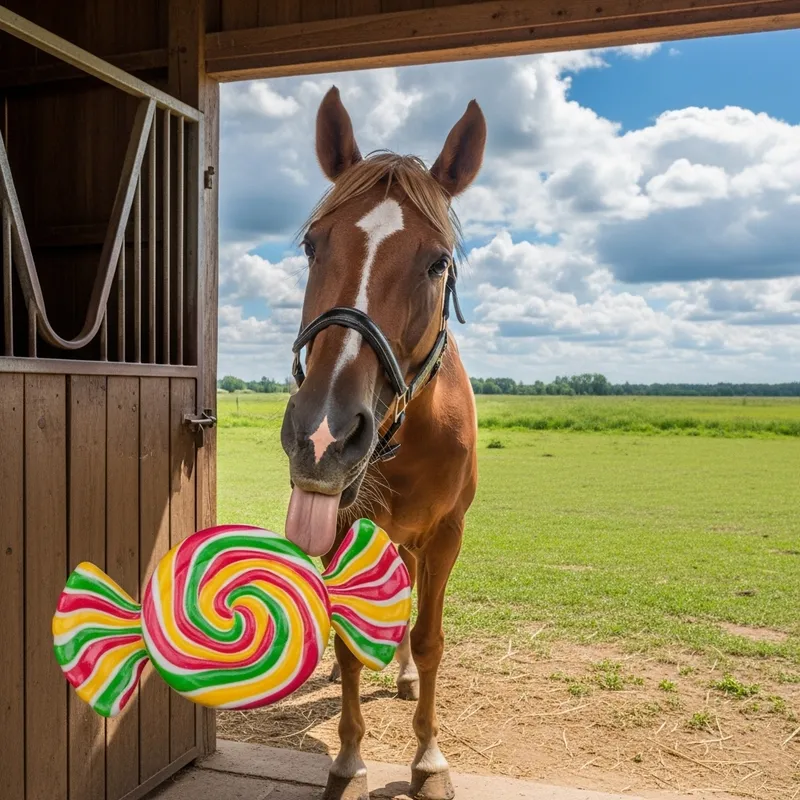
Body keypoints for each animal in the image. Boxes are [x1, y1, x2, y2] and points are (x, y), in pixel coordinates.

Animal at [281, 85, 486, 800]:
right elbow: (347, 643)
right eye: (312, 246)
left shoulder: (447, 533)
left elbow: (429, 639)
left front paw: (428, 756)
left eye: (436, 262)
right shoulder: (339, 525)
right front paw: (348, 761)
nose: (322, 434)